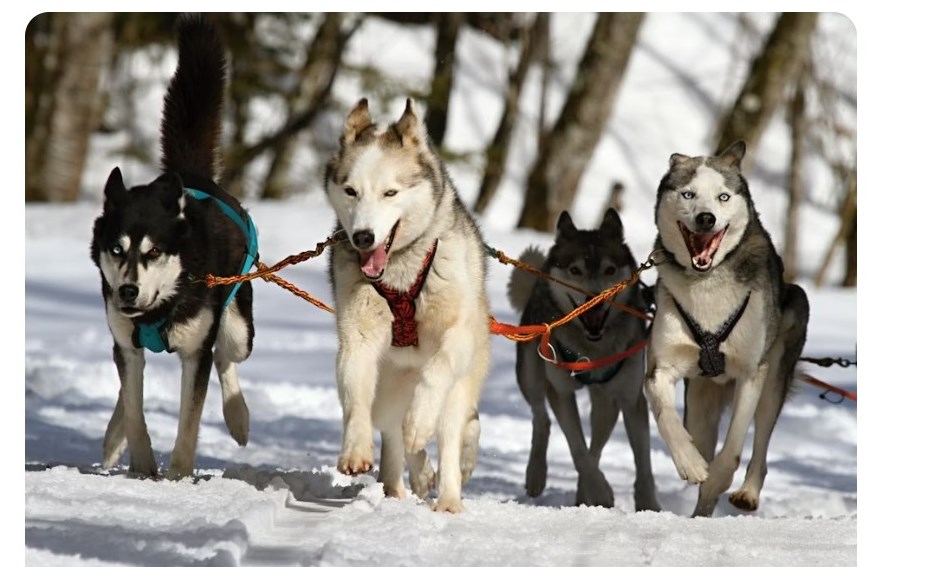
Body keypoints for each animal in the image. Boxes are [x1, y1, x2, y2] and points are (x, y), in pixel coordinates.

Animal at [90, 14, 254, 480]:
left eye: (154, 252)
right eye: (117, 249)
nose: (127, 291)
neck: (159, 307)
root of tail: (191, 175)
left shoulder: (195, 352)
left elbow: (189, 420)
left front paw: (178, 475)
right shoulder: (127, 343)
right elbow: (134, 406)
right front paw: (142, 466)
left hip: (238, 326)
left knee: (226, 356)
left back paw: (238, 418)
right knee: (126, 387)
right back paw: (113, 438)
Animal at [322, 97, 490, 516]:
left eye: (390, 193)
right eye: (350, 190)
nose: (363, 237)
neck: (400, 272)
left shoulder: (457, 335)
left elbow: (436, 372)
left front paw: (420, 421)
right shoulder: (357, 338)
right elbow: (355, 397)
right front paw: (355, 449)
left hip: (461, 386)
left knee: (450, 434)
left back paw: (447, 498)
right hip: (388, 390)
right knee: (394, 436)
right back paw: (404, 483)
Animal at [508, 211, 660, 512]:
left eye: (610, 270)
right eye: (575, 270)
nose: (595, 300)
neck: (592, 348)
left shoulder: (630, 398)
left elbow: (643, 462)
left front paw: (648, 504)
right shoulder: (561, 391)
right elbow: (577, 448)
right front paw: (600, 491)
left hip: (606, 402)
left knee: (597, 443)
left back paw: (582, 493)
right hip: (530, 374)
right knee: (541, 419)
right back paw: (536, 474)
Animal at [644, 142, 804, 520]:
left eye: (723, 196)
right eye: (688, 194)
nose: (706, 218)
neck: (707, 283)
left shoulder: (751, 373)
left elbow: (731, 451)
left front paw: (717, 478)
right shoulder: (660, 369)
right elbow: (666, 417)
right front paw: (690, 464)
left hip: (775, 373)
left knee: (760, 443)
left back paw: (746, 493)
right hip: (700, 403)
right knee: (700, 436)